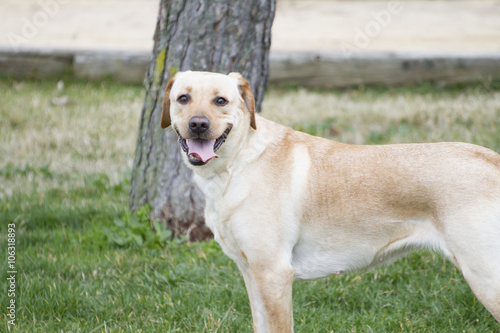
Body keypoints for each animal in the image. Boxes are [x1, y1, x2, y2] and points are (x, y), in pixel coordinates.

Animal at [161, 71, 500, 330]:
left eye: (221, 101)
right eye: (183, 98)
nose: (198, 124)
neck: (238, 163)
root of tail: (491, 158)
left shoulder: (274, 275)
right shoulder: (253, 274)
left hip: (485, 278)